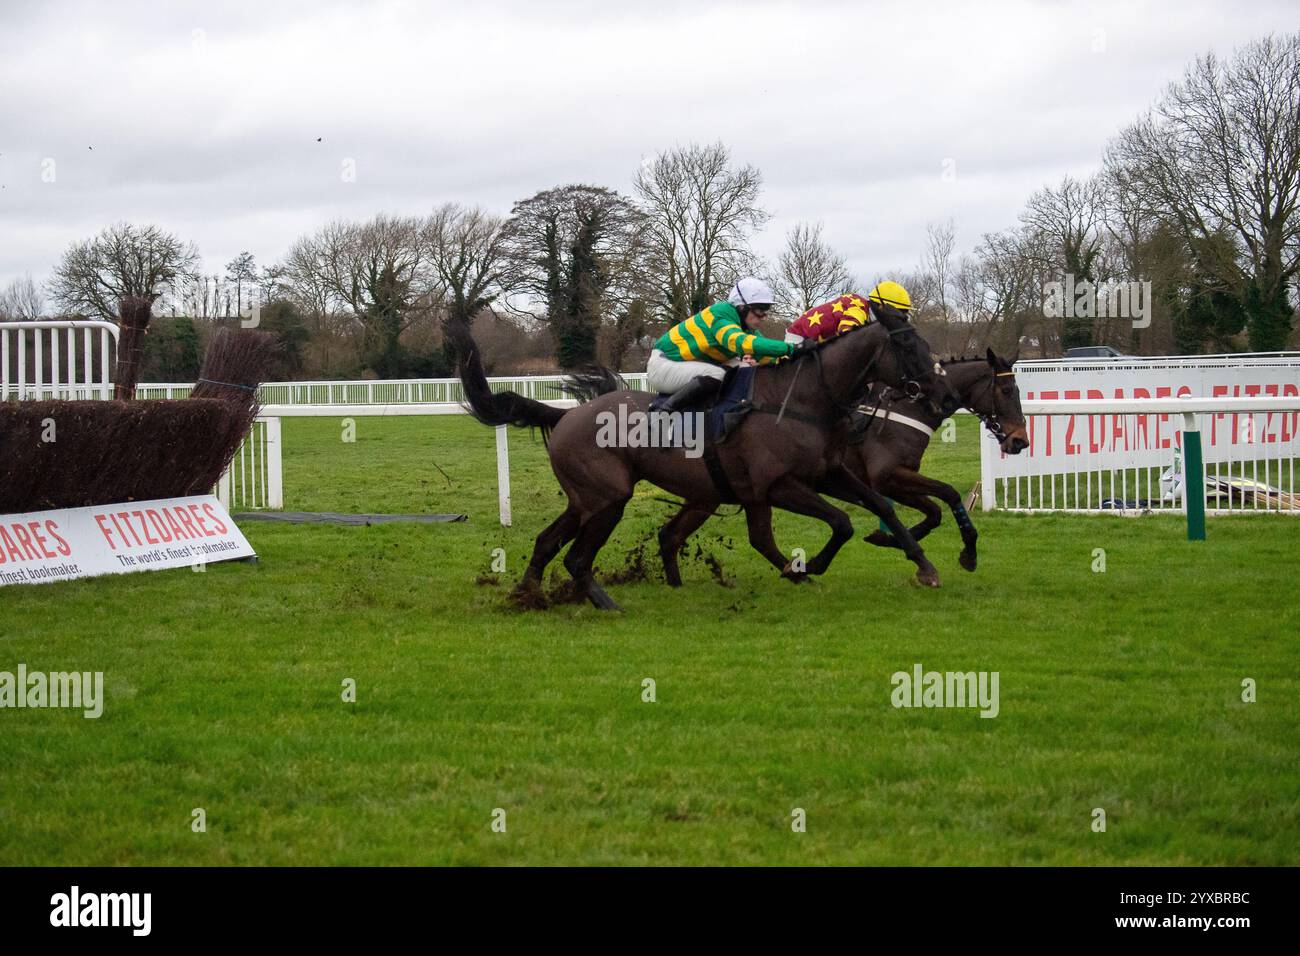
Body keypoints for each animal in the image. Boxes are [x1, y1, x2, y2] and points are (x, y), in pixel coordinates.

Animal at [452, 314, 951, 613]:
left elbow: (879, 507)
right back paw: (605, 603)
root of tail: (567, 414)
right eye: (910, 347)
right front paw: (811, 567)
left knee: (547, 542)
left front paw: (925, 567)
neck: (801, 400)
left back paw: (528, 594)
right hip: (609, 498)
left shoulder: (827, 473)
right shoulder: (778, 486)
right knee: (577, 556)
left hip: (596, 500)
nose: (942, 396)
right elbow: (842, 522)